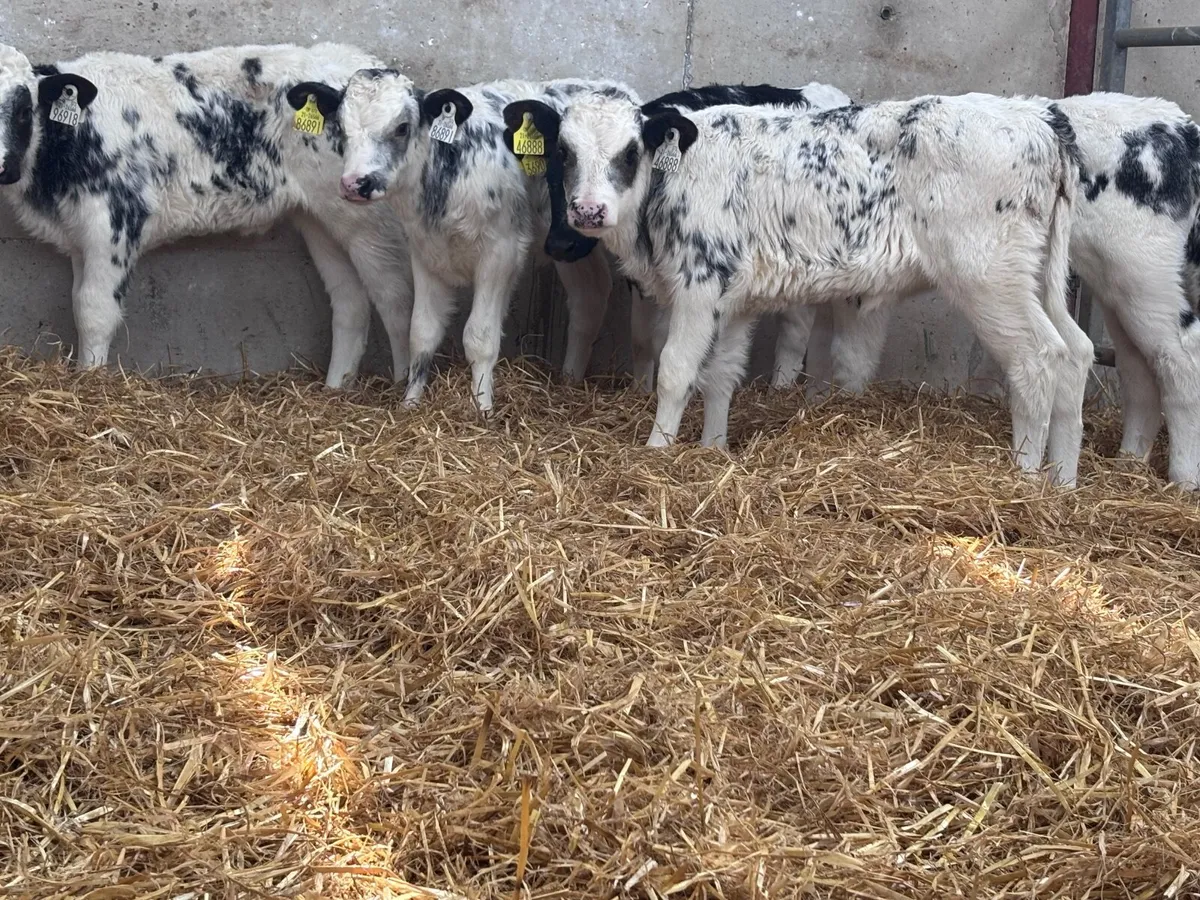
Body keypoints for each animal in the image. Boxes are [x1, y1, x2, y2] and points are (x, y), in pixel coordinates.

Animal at [0, 42, 413, 388]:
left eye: (23, 110)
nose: (2, 167)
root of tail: (355, 58)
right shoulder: (79, 236)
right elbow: (77, 301)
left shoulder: (116, 225)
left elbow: (94, 310)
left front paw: (90, 383)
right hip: (321, 218)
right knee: (350, 302)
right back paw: (334, 389)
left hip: (370, 222)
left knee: (394, 298)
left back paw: (400, 388)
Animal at [336, 70, 626, 414]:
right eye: (339, 126)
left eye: (402, 127)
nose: (355, 183)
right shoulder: (425, 251)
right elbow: (421, 332)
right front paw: (410, 403)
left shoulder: (501, 251)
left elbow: (479, 336)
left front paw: (482, 408)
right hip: (567, 246)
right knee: (589, 295)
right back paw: (569, 381)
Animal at [508, 90, 1094, 486]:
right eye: (563, 152)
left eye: (630, 151)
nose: (588, 211)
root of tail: (1037, 120)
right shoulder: (736, 300)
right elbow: (721, 376)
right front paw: (714, 449)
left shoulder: (698, 284)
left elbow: (676, 370)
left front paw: (656, 453)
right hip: (1036, 276)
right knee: (1077, 352)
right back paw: (1063, 481)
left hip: (988, 277)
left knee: (1038, 358)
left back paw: (1023, 477)